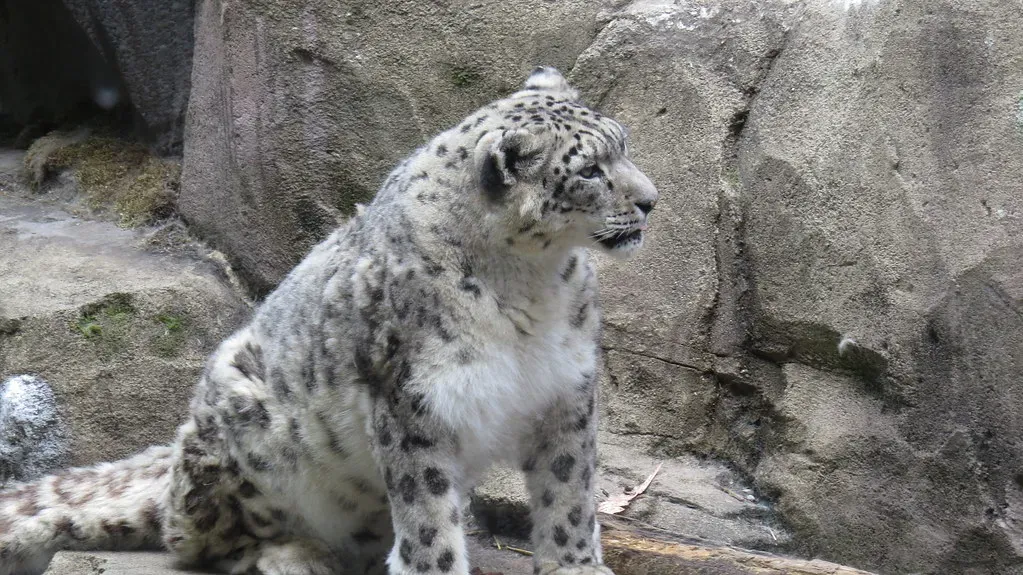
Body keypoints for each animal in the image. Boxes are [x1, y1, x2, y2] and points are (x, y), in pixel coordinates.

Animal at [0, 66, 658, 575]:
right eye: (590, 171)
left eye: (624, 145)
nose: (651, 200)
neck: (529, 285)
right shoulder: (412, 401)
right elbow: (427, 513)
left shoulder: (566, 388)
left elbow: (569, 488)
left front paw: (576, 564)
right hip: (244, 435)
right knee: (196, 541)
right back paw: (294, 555)